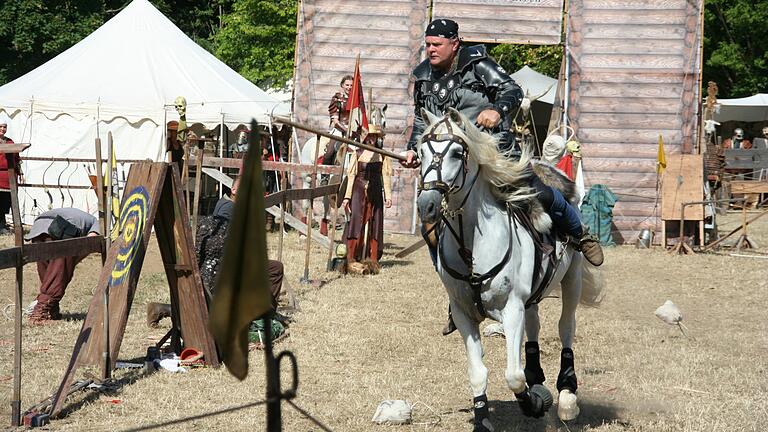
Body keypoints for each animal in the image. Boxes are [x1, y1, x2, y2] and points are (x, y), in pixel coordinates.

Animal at [416, 107, 604, 428]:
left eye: (456, 152)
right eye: (421, 152)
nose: (426, 204)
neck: (472, 243)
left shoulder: (512, 308)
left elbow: (513, 376)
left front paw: (534, 404)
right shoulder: (464, 314)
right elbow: (478, 373)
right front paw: (483, 419)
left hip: (573, 279)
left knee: (566, 326)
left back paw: (567, 396)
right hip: (533, 296)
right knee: (535, 325)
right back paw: (537, 378)